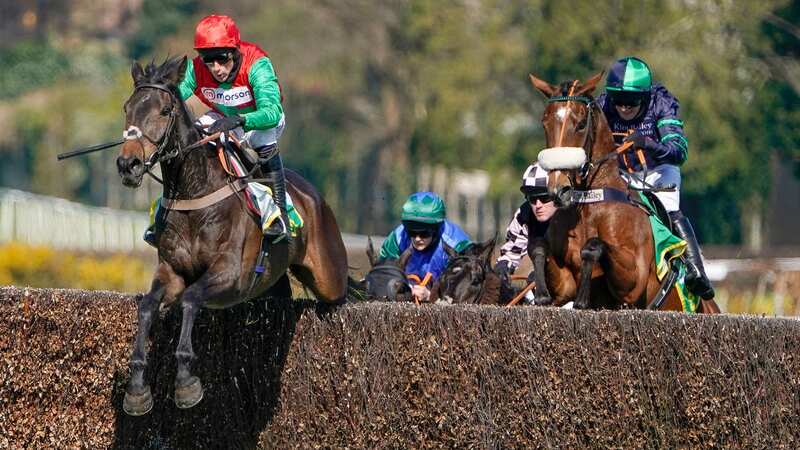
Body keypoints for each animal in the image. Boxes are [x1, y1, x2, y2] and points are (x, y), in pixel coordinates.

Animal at [115, 56, 350, 414]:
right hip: (273, 283)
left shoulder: (231, 274)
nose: (128, 164)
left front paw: (186, 383)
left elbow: (191, 298)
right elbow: (148, 306)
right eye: (127, 108)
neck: (195, 193)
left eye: (165, 111)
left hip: (328, 276)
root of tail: (315, 195)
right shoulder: (171, 271)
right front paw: (137, 389)